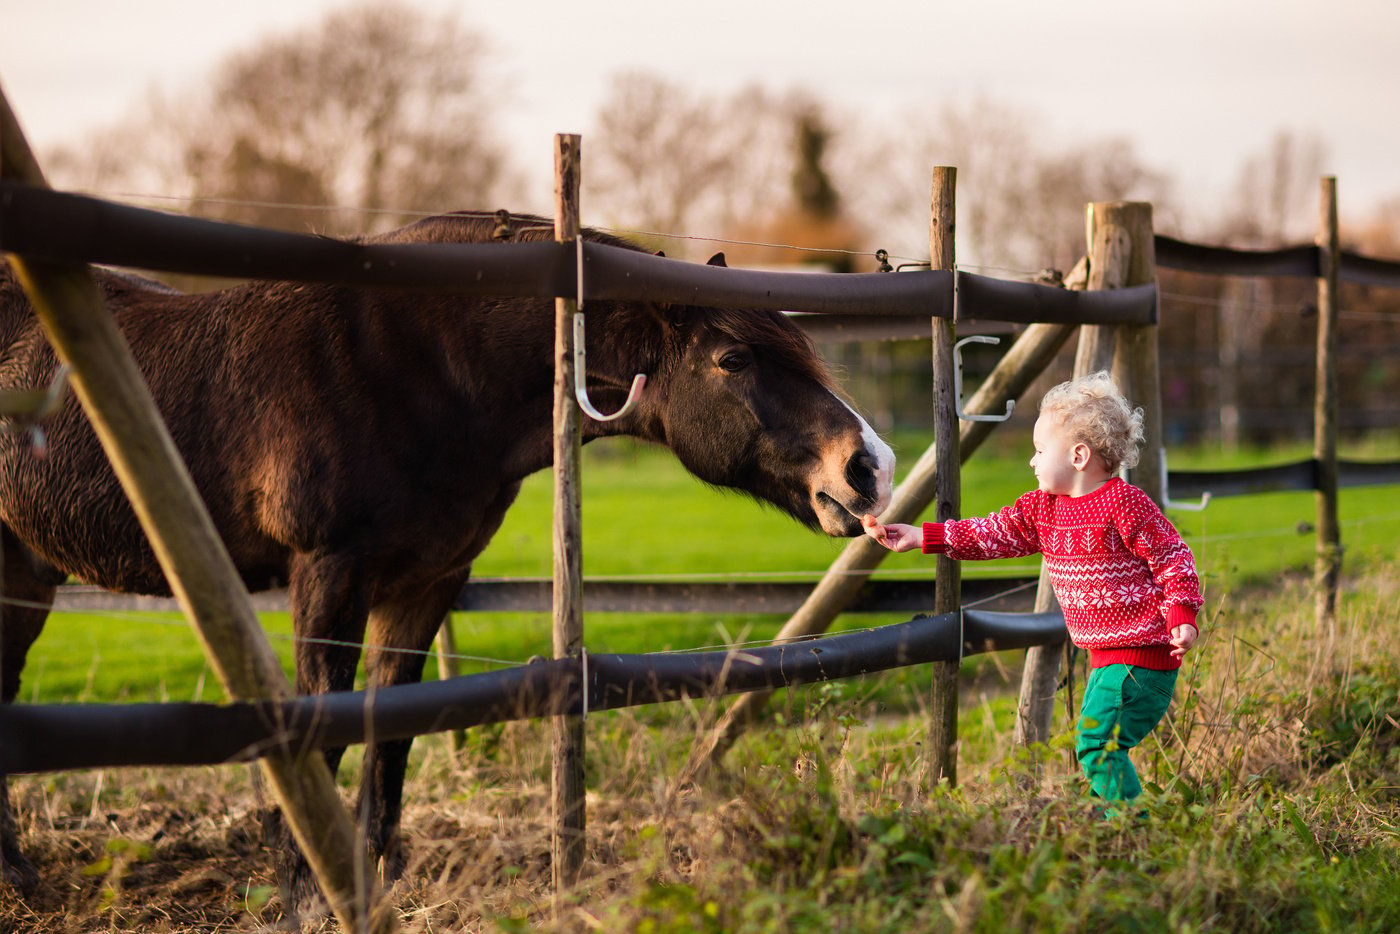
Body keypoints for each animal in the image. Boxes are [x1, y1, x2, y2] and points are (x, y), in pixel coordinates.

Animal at [0, 211, 896, 912]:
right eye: (733, 360)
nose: (869, 466)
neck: (414, 366)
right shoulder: (327, 575)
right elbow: (324, 727)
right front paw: (310, 894)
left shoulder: (427, 582)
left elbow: (391, 727)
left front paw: (369, 880)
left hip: (25, 579)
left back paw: (21, 881)